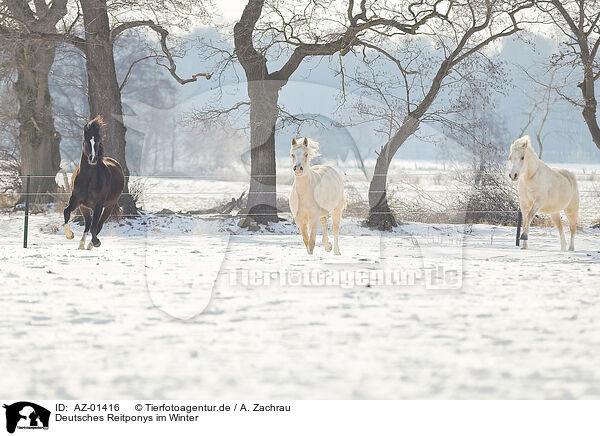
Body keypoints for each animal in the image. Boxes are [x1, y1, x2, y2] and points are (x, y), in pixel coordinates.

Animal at [63, 116, 125, 250]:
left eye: (98, 142)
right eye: (86, 141)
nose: (93, 158)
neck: (88, 179)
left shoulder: (98, 205)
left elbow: (95, 226)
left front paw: (96, 242)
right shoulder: (76, 200)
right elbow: (66, 212)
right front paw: (70, 235)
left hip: (109, 206)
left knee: (98, 224)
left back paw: (91, 244)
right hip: (84, 207)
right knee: (88, 223)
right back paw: (81, 244)